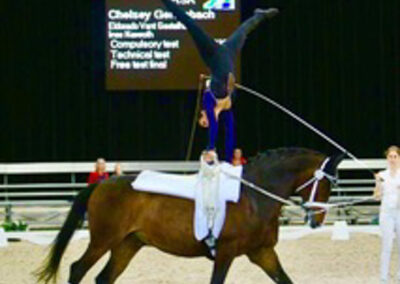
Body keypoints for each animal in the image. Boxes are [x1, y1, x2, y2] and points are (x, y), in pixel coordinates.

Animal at [36, 148, 344, 282]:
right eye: (326, 183)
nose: (317, 221)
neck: (254, 197)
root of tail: (102, 184)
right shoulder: (225, 252)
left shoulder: (262, 252)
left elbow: (285, 279)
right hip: (103, 240)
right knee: (78, 269)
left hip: (128, 244)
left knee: (104, 278)